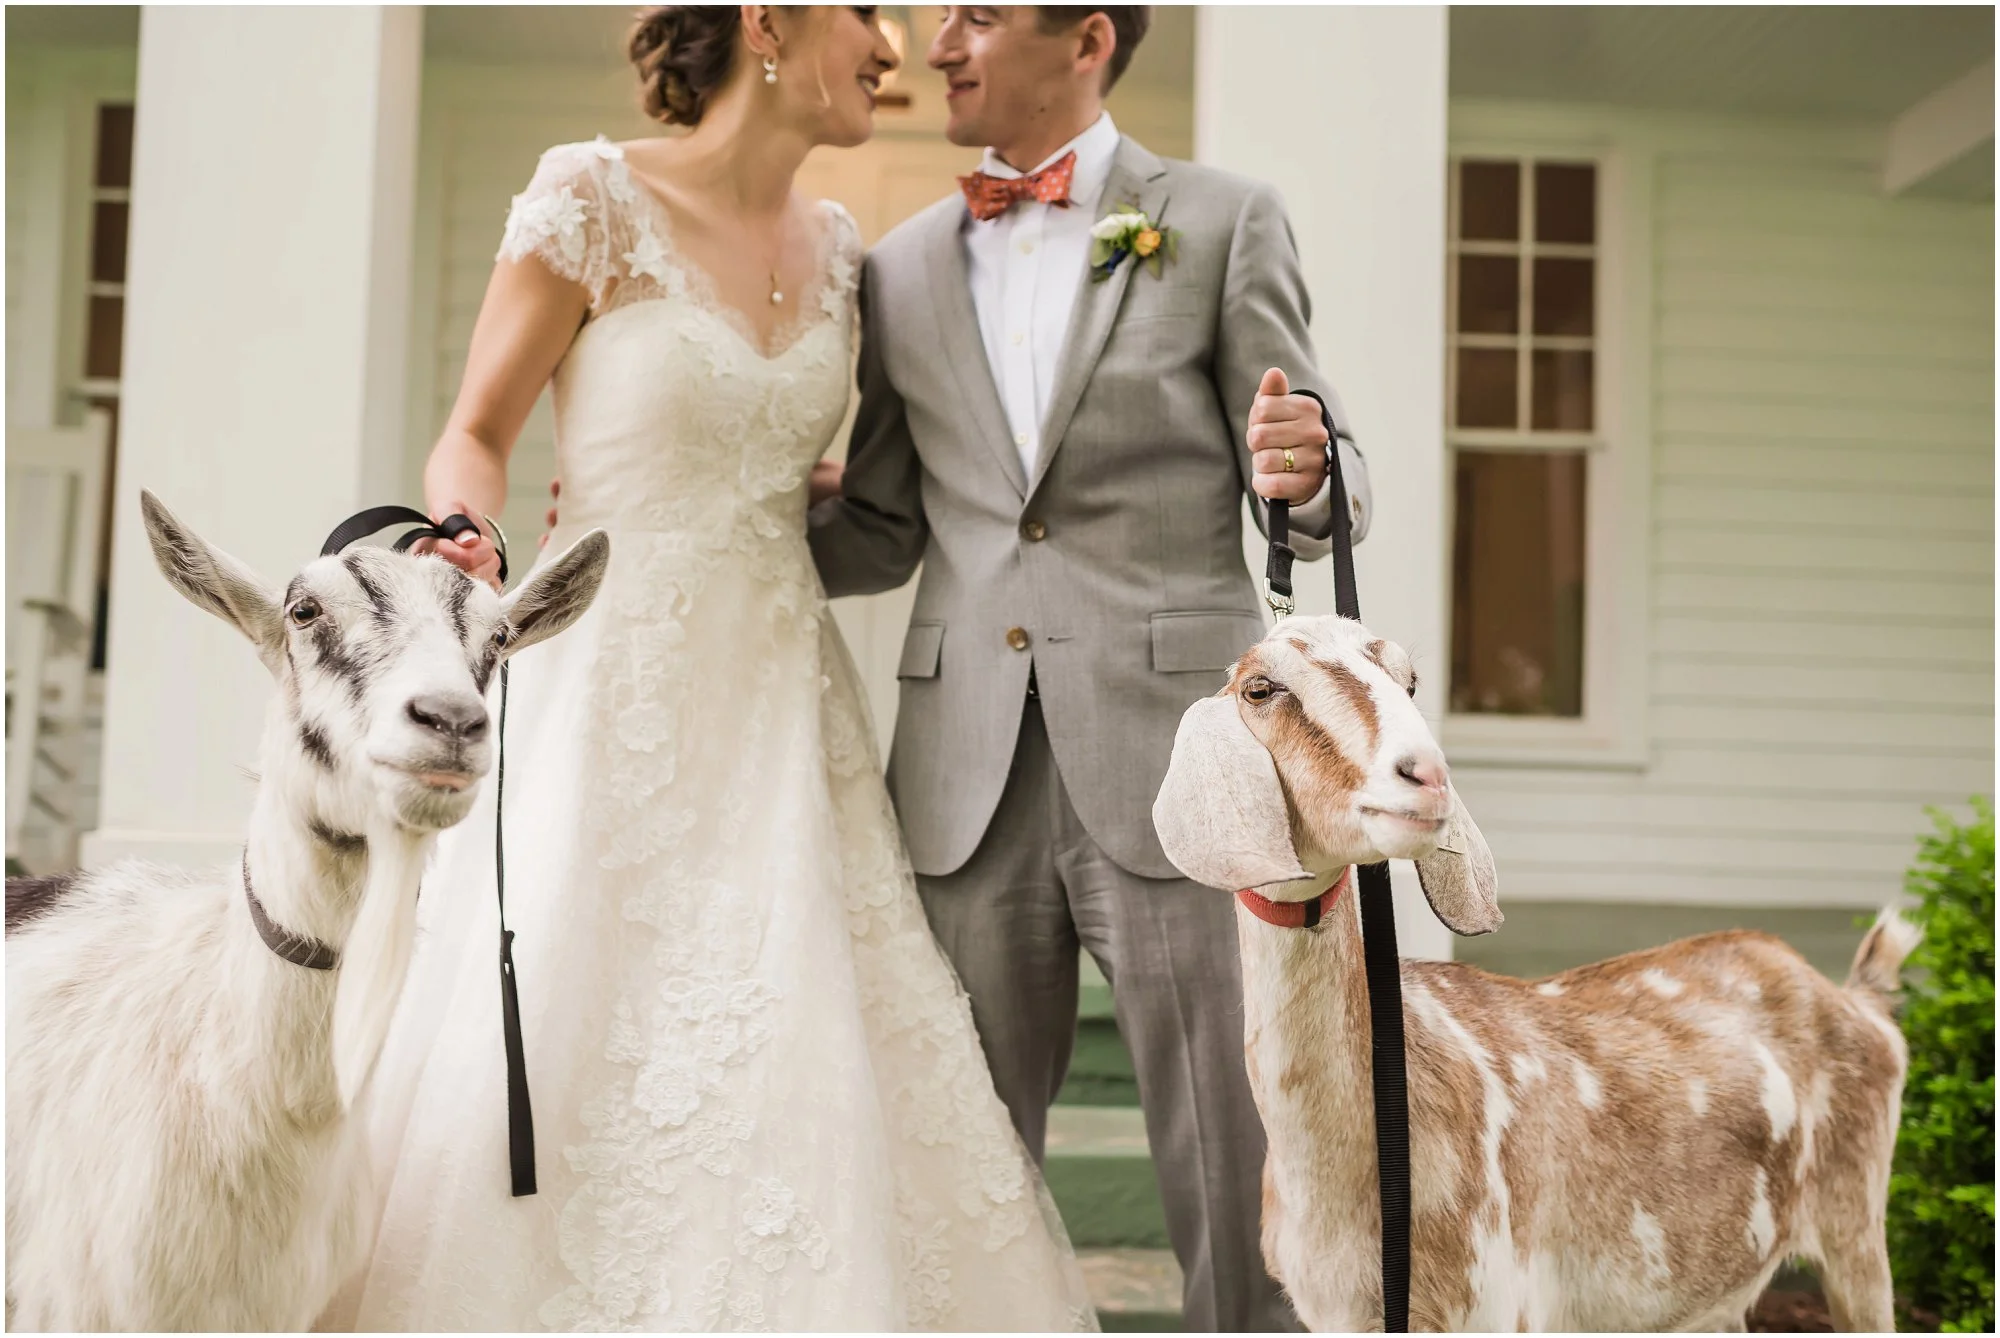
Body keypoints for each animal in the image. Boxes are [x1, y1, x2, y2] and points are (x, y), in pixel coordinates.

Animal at [1152, 613, 1915, 1333]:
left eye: (1411, 681)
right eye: (1261, 688)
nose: (1427, 776)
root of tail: (1854, 998)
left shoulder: (1496, 1305)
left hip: (1856, 1228)